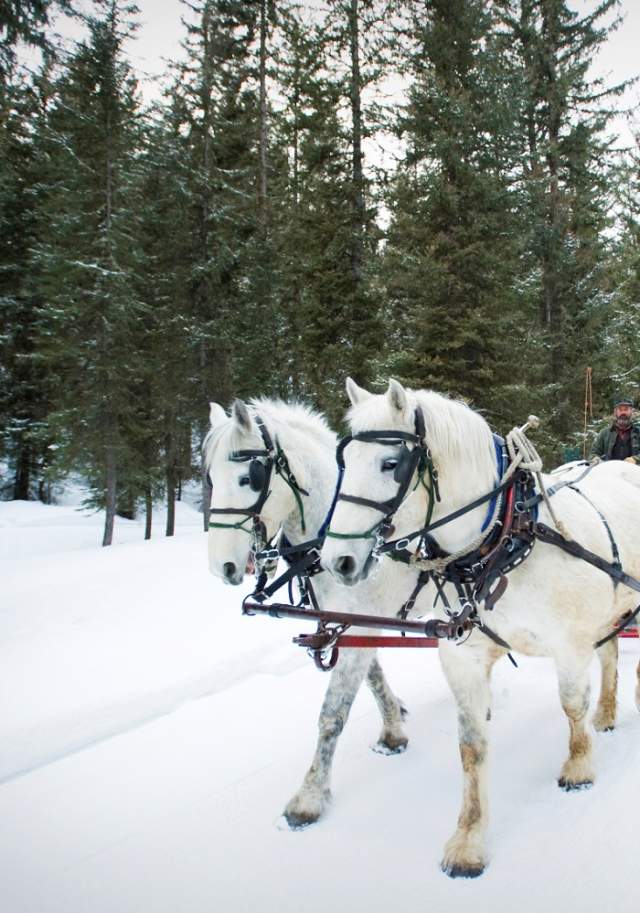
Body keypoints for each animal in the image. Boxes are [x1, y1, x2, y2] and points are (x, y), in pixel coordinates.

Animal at [206, 398, 424, 828]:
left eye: (248, 478)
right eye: (209, 477)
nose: (222, 566)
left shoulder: (364, 626)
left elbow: (332, 714)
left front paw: (308, 798)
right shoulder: (353, 625)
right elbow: (373, 680)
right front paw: (394, 728)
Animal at [324, 378, 640, 876]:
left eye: (390, 464)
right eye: (344, 461)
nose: (337, 560)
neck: (506, 539)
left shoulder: (569, 645)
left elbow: (572, 706)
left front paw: (579, 768)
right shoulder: (463, 657)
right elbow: (471, 747)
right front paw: (469, 840)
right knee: (609, 651)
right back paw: (607, 713)